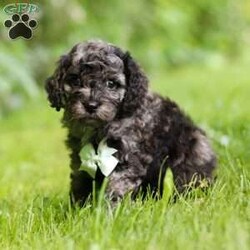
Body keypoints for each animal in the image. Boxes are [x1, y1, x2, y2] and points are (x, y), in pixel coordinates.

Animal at [45, 39, 217, 205]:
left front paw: (109, 212)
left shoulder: (127, 158)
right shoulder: (80, 157)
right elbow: (80, 183)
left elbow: (116, 188)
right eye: (75, 80)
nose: (91, 105)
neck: (100, 128)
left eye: (111, 84)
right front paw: (76, 209)